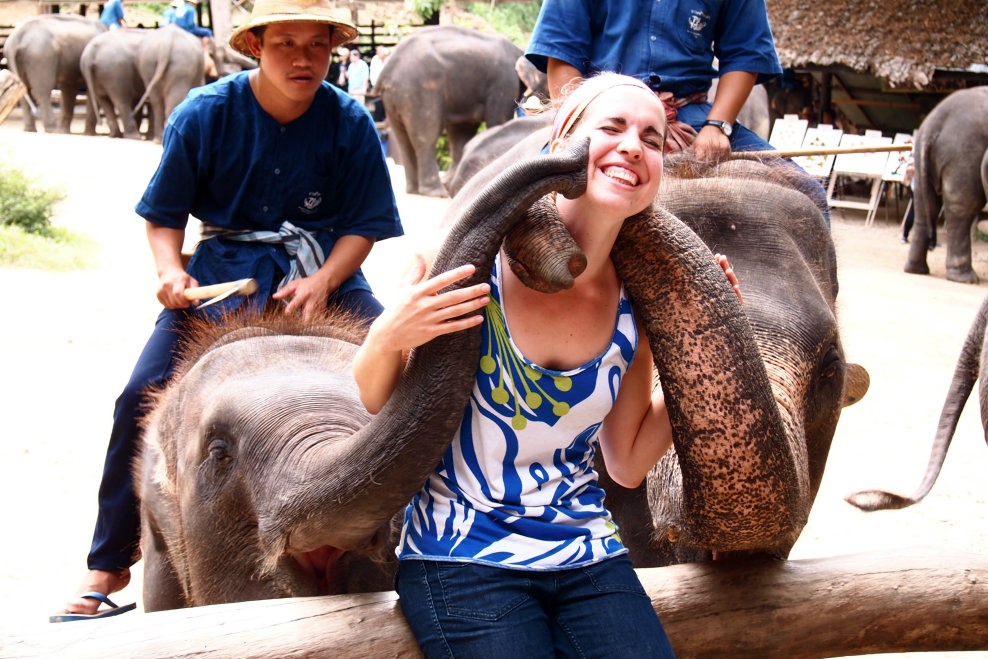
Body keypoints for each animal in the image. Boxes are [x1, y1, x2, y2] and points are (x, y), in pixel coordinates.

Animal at [372, 24, 524, 199]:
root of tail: (388, 69)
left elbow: (461, 132)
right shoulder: (505, 83)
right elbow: (497, 121)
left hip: (394, 97)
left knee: (403, 139)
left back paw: (415, 190)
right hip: (420, 90)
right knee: (426, 136)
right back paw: (436, 192)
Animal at [904, 85, 988, 284]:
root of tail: (933, 124)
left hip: (921, 159)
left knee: (925, 206)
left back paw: (916, 270)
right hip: (964, 154)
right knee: (962, 210)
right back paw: (964, 278)